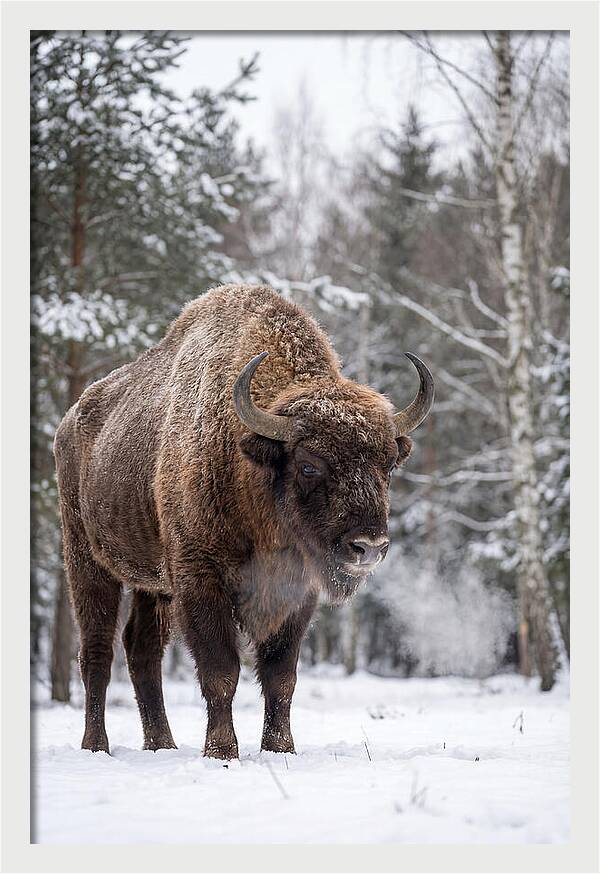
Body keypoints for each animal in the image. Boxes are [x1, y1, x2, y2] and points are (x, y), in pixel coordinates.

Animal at [54, 284, 434, 758]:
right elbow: (221, 671)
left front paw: (280, 749)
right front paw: (221, 752)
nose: (369, 547)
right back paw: (96, 746)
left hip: (151, 584)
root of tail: (69, 423)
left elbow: (280, 676)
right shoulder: (199, 580)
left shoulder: (297, 593)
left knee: (141, 651)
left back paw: (162, 745)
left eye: (387, 466)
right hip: (87, 560)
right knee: (97, 652)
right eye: (309, 465)